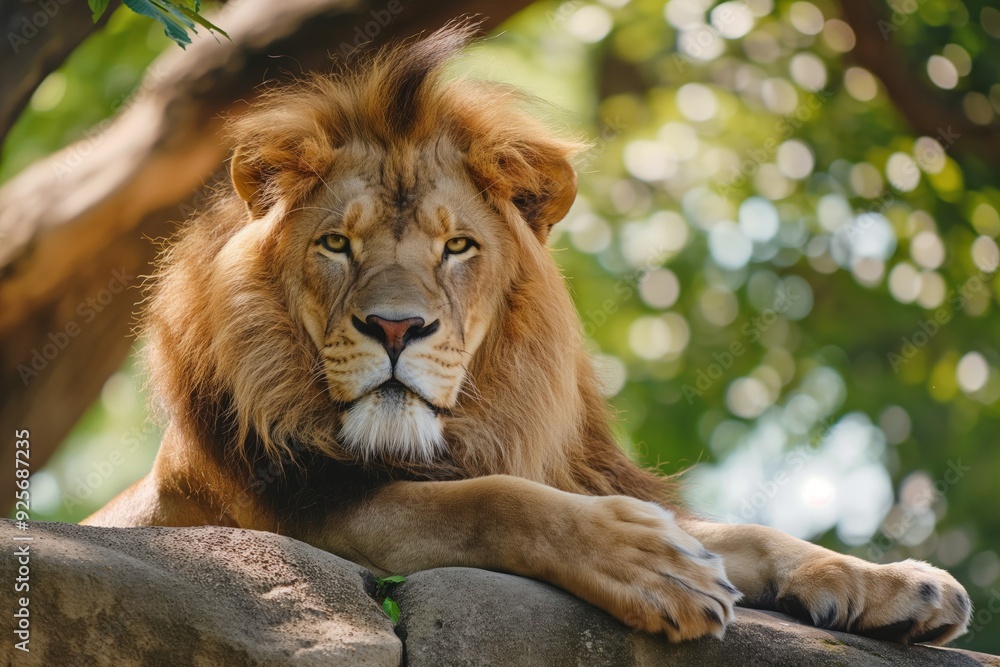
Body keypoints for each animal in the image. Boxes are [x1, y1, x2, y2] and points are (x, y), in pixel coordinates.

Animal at [85, 24, 971, 645]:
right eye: (337, 244)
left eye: (457, 246)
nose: (396, 326)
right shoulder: (285, 510)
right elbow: (492, 500)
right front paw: (654, 568)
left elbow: (742, 531)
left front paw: (899, 582)